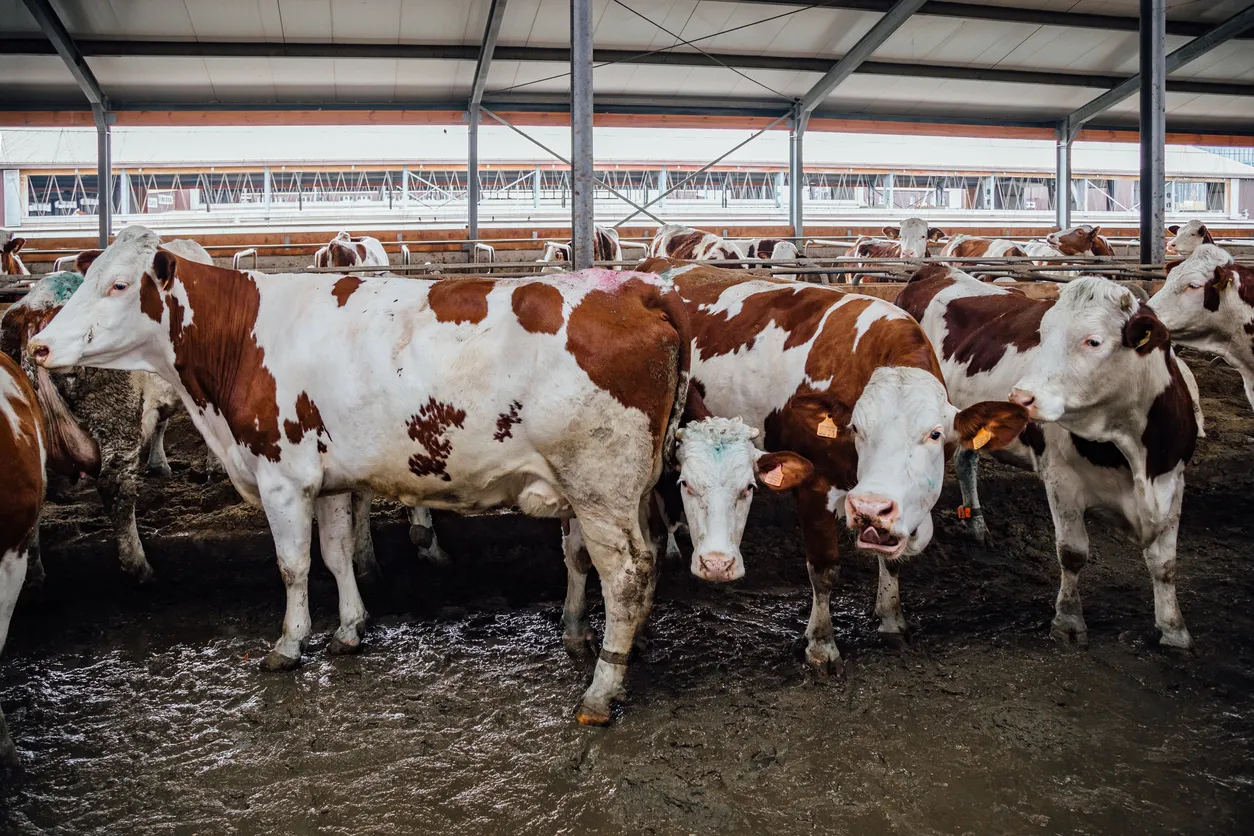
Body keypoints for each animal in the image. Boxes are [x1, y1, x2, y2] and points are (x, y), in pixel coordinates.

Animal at [30, 225, 708, 726]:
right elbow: (335, 556)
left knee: (626, 574)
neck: (243, 336)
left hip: (600, 487)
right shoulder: (326, 478)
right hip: (630, 489)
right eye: (87, 277)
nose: (38, 345)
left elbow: (293, 565)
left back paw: (601, 690)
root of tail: (635, 291)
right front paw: (350, 630)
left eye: (118, 284)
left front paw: (288, 644)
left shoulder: (281, 476)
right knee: (643, 564)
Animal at [568, 257, 1026, 673]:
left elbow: (893, 558)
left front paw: (892, 619)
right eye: (856, 429)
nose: (870, 507)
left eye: (934, 434)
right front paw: (821, 645)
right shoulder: (814, 485)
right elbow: (823, 570)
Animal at [897, 266, 1200, 649]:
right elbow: (1072, 552)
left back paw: (977, 525)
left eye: (1093, 341)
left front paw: (1174, 630)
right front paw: (1068, 620)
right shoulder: (1061, 479)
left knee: (966, 462)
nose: (1020, 397)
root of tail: (937, 269)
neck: (1132, 447)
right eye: (1042, 335)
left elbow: (1165, 564)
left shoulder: (1173, 480)